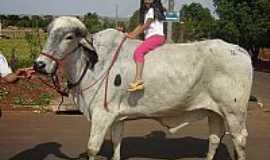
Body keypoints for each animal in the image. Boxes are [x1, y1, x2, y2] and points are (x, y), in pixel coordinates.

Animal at [34, 16, 253, 160]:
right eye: (49, 33)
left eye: (69, 37)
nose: (39, 65)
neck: (90, 64)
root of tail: (240, 50)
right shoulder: (116, 118)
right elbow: (117, 144)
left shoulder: (101, 115)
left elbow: (92, 148)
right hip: (214, 112)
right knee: (215, 138)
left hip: (234, 112)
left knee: (240, 140)